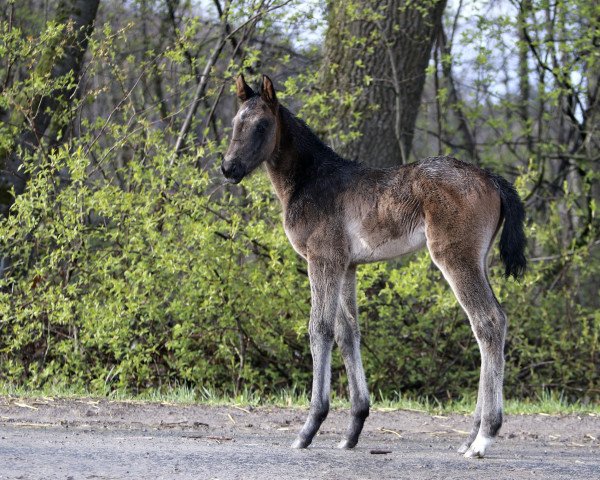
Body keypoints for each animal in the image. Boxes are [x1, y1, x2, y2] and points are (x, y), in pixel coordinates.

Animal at [220, 74, 524, 458]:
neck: (310, 179)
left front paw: (308, 429)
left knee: (488, 321)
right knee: (491, 322)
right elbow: (348, 333)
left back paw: (484, 438)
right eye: (235, 122)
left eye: (261, 125)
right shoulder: (347, 266)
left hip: (456, 258)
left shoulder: (323, 260)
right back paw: (469, 437)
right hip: (477, 260)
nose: (228, 168)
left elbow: (319, 330)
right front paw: (352, 431)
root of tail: (491, 178)